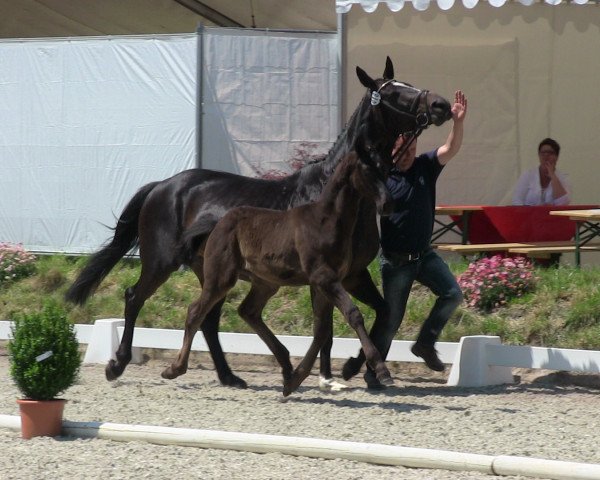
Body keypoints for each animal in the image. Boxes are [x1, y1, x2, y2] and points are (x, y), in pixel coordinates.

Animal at [159, 137, 394, 396]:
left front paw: (294, 382)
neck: (327, 221)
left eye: (385, 169)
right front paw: (381, 370)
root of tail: (217, 223)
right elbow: (352, 315)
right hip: (221, 277)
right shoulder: (323, 278)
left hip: (265, 283)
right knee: (196, 312)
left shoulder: (326, 283)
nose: (387, 204)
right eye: (368, 170)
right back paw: (174, 369)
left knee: (248, 311)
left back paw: (285, 366)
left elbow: (321, 331)